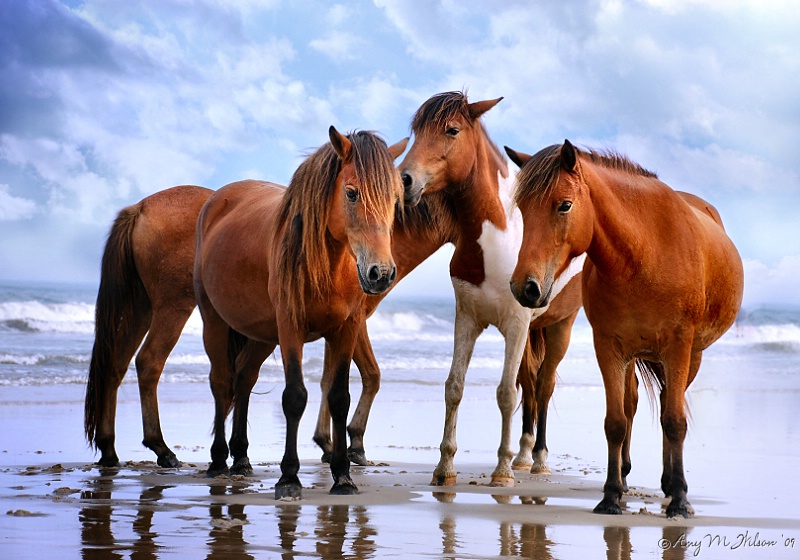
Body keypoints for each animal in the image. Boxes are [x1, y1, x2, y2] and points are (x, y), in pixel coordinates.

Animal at [195, 128, 406, 498]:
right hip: (215, 321)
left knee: (244, 377)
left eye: (395, 199)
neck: (328, 264)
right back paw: (219, 461)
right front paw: (289, 478)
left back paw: (241, 460)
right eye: (351, 193)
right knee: (221, 382)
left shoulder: (346, 329)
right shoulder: (290, 327)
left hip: (261, 333)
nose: (381, 273)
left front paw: (343, 476)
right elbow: (294, 397)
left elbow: (339, 397)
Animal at [398, 91, 580, 486]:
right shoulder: (467, 319)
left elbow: (506, 394)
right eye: (416, 131)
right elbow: (454, 386)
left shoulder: (515, 324)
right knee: (530, 381)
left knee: (543, 386)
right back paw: (524, 455)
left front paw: (501, 472)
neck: (496, 237)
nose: (404, 180)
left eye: (451, 130)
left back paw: (538, 459)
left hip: (560, 325)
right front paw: (445, 468)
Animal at [510, 142, 748, 520]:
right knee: (632, 403)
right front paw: (611, 495)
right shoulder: (608, 348)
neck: (641, 256)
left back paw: (670, 485)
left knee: (667, 408)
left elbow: (674, 421)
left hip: (690, 356)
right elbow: (616, 422)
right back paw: (625, 475)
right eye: (521, 209)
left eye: (564, 205)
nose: (526, 288)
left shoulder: (678, 347)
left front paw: (680, 500)